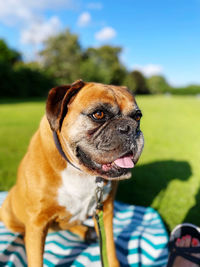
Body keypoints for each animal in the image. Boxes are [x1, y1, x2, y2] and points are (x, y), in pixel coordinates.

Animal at [0, 80, 144, 267]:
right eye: (99, 114)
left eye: (138, 117)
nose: (130, 128)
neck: (79, 171)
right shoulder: (37, 223)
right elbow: (36, 258)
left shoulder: (105, 210)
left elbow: (110, 248)